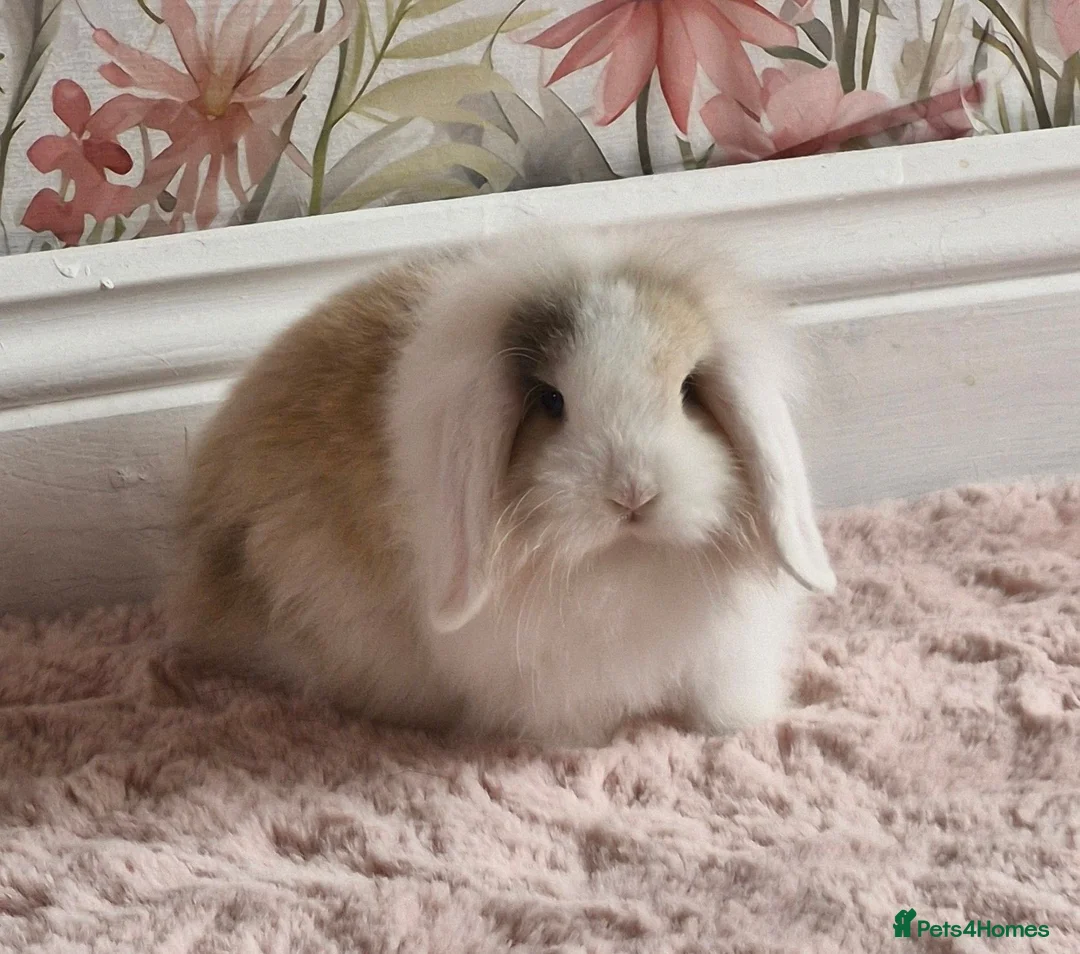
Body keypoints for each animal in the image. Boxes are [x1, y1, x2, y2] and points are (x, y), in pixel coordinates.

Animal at [165, 223, 835, 746]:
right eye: (551, 400)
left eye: (690, 389)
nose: (632, 495)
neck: (624, 563)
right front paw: (582, 749)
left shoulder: (728, 657)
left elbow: (721, 704)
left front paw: (737, 730)